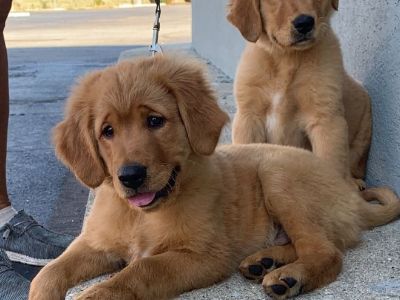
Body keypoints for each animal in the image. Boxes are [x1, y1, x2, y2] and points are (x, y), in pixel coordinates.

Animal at [28, 56, 400, 300]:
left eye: (154, 121)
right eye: (107, 131)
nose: (130, 176)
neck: (142, 216)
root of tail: (350, 196)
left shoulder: (204, 255)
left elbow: (141, 269)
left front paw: (100, 292)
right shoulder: (95, 242)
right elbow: (49, 272)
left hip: (277, 173)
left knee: (327, 252)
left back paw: (289, 276)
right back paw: (263, 261)